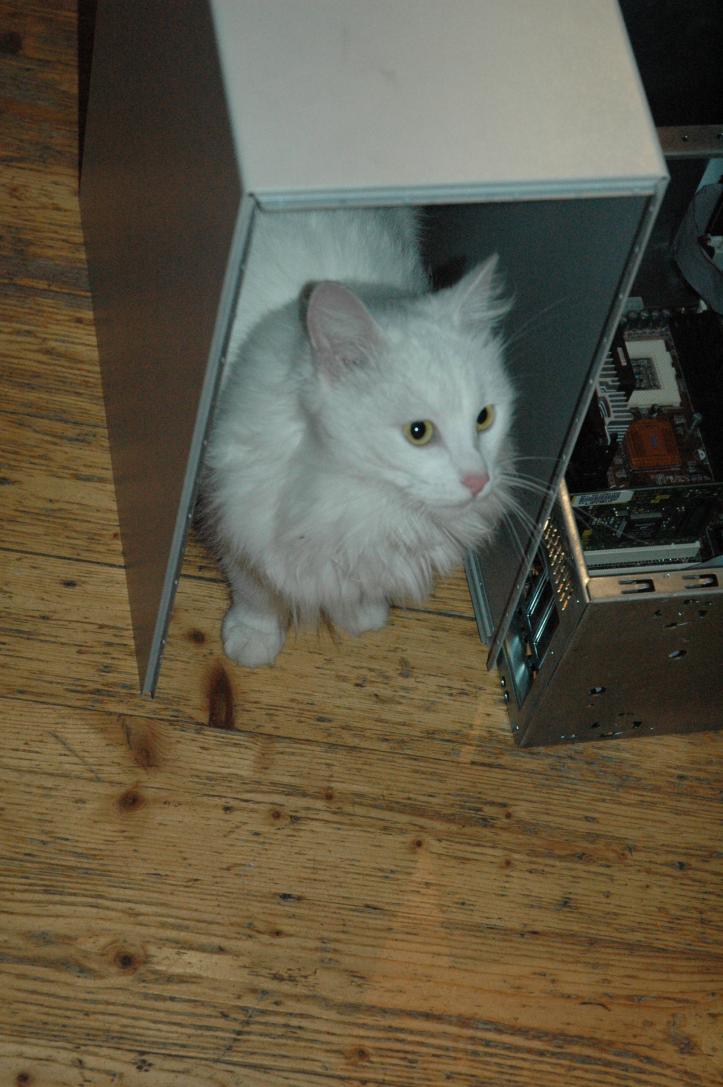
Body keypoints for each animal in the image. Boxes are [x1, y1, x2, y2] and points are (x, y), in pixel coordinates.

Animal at [203, 207, 515, 667]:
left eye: (484, 418)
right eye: (418, 432)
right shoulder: (238, 515)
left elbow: (361, 584)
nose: (479, 481)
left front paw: (362, 614)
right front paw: (253, 638)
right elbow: (255, 591)